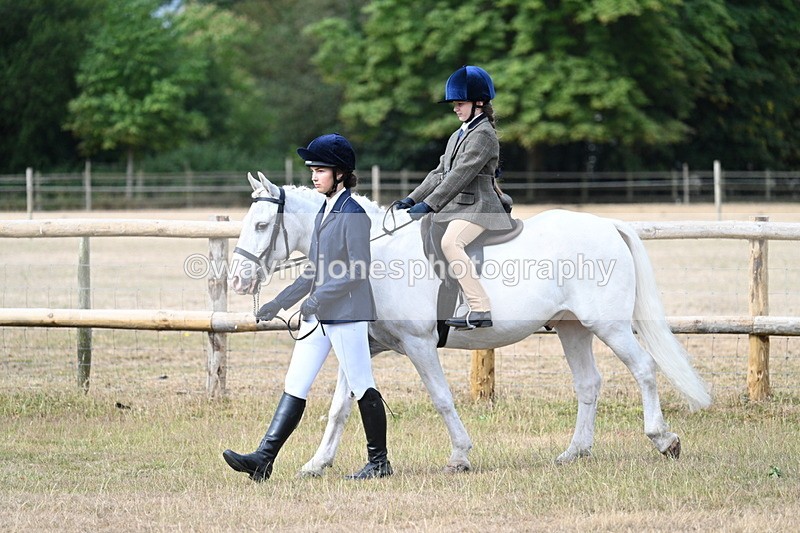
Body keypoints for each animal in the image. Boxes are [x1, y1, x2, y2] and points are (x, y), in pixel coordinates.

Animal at [229, 172, 711, 475]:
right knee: (589, 384)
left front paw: (460, 456)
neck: (373, 253)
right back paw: (574, 452)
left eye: (261, 224)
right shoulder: (366, 343)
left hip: (607, 325)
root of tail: (608, 225)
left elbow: (441, 398)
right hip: (571, 328)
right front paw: (316, 463)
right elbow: (342, 407)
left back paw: (664, 440)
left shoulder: (419, 344)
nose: (237, 279)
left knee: (644, 369)